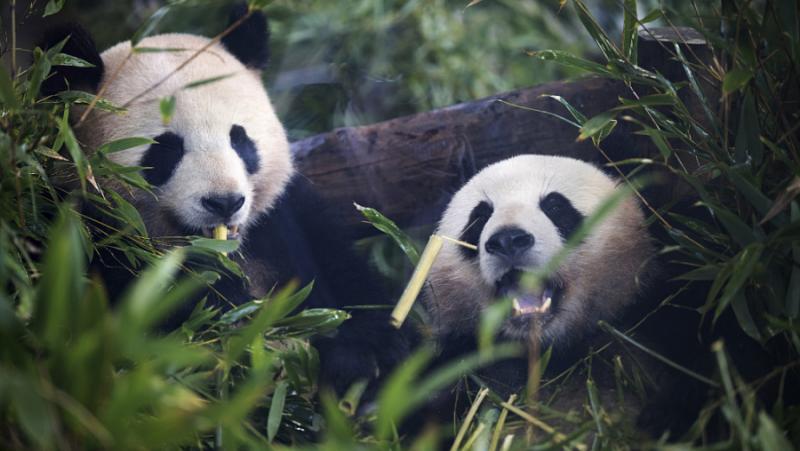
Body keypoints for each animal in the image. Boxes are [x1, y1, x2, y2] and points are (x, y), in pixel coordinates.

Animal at [40, 5, 410, 400]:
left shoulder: (287, 219)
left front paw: (366, 354)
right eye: (166, 150)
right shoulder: (88, 238)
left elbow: (352, 287)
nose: (224, 202)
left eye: (240, 139)